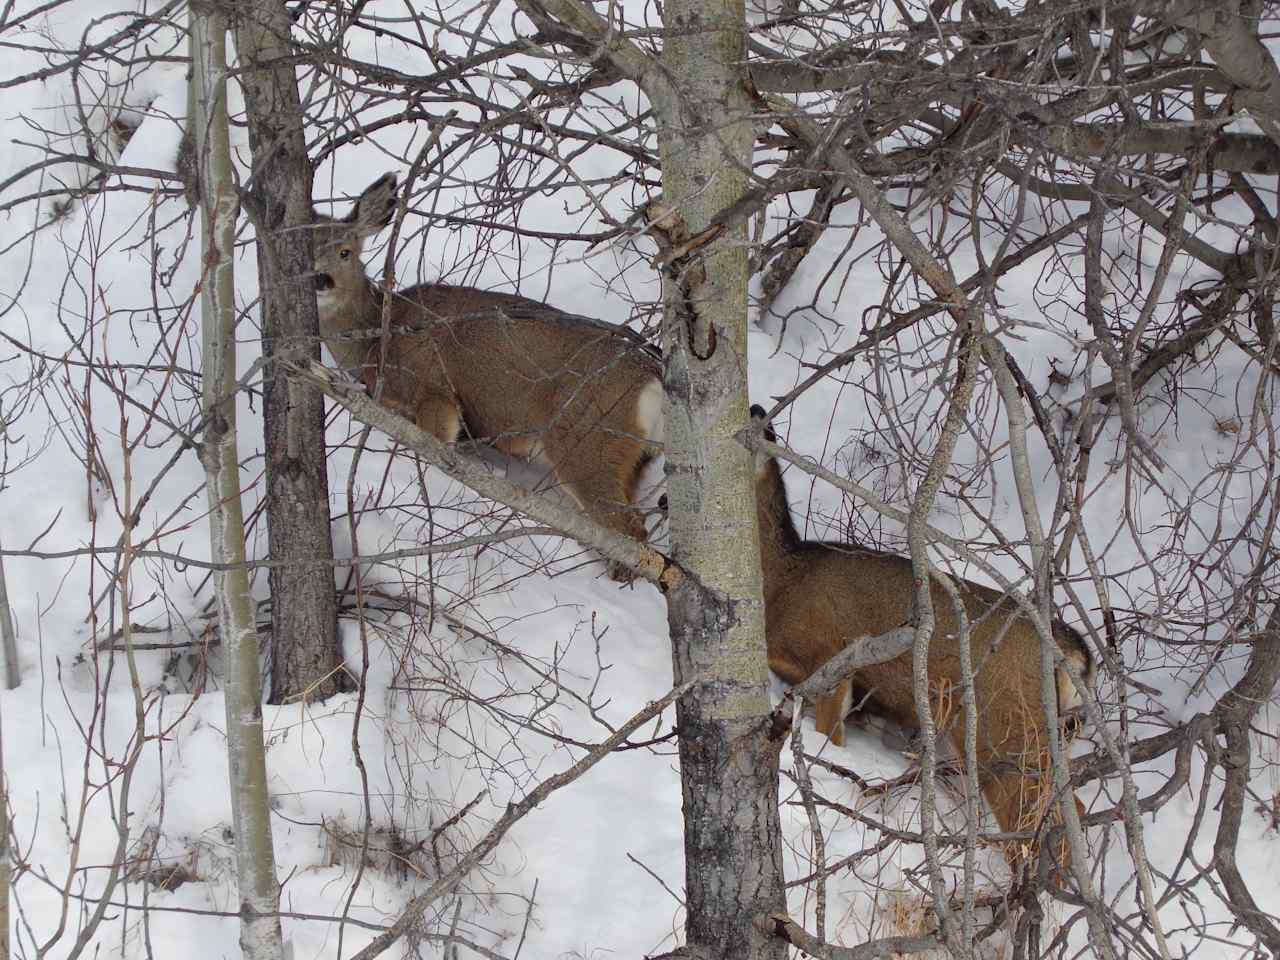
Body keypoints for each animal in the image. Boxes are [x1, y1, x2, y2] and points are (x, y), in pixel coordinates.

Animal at [313, 172, 665, 578]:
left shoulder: (433, 390)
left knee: (628, 529)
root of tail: (651, 378)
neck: (376, 340)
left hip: (586, 444)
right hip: (630, 460)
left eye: (346, 252)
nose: (321, 279)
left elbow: (438, 448)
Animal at [747, 407, 1100, 865]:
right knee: (1070, 808)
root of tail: (1075, 652)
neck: (781, 577)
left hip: (1004, 732)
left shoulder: (830, 660)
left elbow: (829, 739)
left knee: (1037, 822)